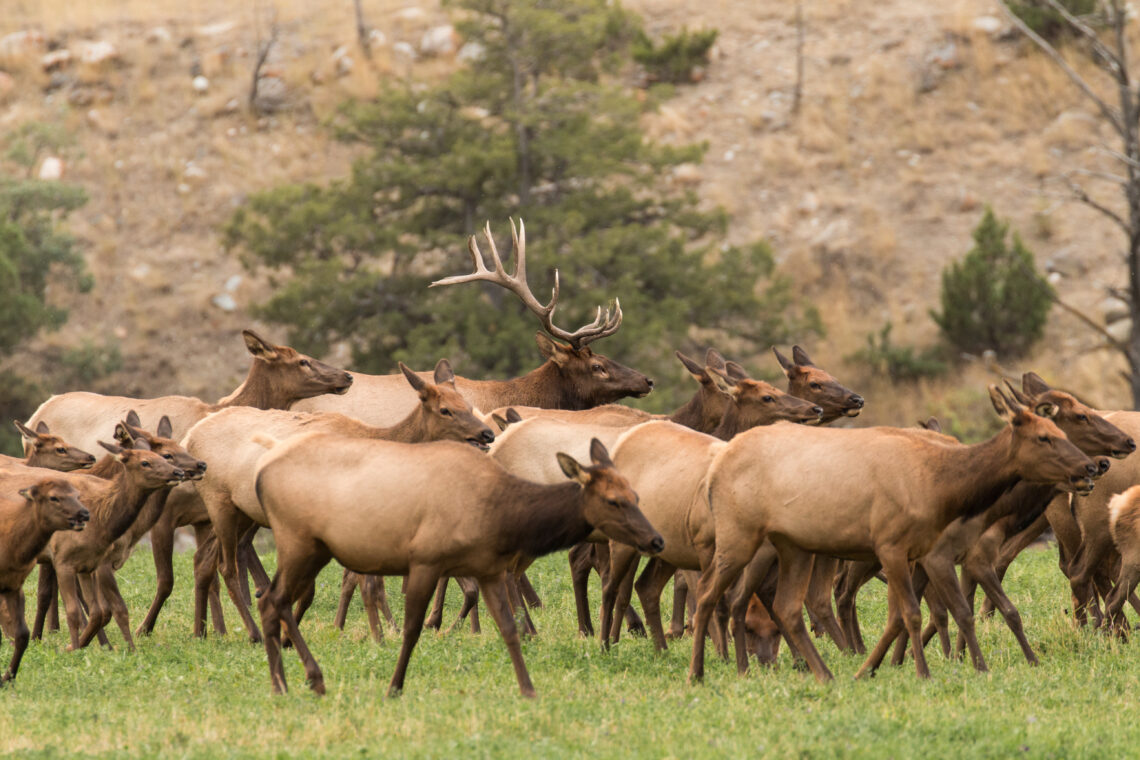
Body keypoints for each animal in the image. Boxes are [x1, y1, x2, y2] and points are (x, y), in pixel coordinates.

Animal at [0, 478, 88, 685]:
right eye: (53, 497)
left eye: (77, 495)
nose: (84, 513)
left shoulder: (14, 585)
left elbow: (22, 634)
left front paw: (7, 678)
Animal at [183, 360, 495, 643]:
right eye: (445, 410)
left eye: (468, 405)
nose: (488, 433)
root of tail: (190, 436)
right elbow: (352, 586)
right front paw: (376, 637)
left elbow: (335, 588)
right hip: (219, 500)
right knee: (226, 568)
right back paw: (252, 633)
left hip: (240, 512)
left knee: (203, 561)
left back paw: (202, 631)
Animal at [252, 433, 663, 697]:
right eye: (613, 501)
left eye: (636, 495)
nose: (656, 539)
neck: (502, 515)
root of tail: (259, 475)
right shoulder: (425, 560)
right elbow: (412, 630)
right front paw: (394, 686)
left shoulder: (488, 569)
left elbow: (509, 628)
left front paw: (528, 689)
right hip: (298, 541)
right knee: (272, 599)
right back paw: (292, 682)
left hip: (315, 548)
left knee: (275, 600)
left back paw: (292, 681)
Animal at [687, 386, 1096, 683]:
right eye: (1043, 437)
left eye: (1060, 432)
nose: (1091, 466)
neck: (941, 486)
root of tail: (716, 466)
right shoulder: (892, 545)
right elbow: (914, 614)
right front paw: (923, 671)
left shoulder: (924, 552)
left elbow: (945, 611)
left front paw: (973, 666)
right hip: (739, 536)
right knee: (708, 593)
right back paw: (700, 672)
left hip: (795, 547)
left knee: (787, 607)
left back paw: (826, 674)